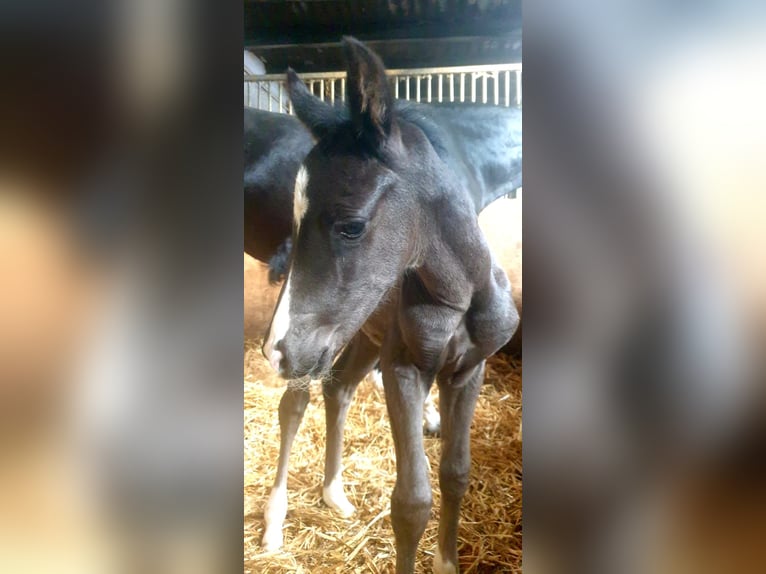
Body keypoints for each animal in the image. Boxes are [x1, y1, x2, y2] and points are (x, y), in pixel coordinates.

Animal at [260, 38, 520, 572]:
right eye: (295, 221)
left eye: (351, 226)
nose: (276, 351)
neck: (461, 295)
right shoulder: (405, 369)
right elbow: (411, 502)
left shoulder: (469, 370)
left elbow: (456, 473)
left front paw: (446, 562)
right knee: (294, 405)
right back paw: (275, 522)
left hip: (359, 336)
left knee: (338, 388)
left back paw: (335, 494)